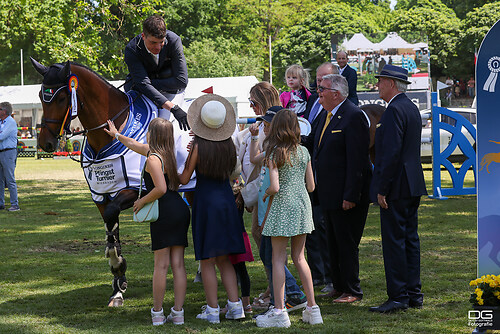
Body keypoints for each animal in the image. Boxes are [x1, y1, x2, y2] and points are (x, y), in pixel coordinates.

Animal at [29, 57, 189, 306]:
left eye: (62, 98)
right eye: (39, 95)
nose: (46, 143)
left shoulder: (136, 190)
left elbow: (113, 220)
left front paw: (116, 263)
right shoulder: (101, 196)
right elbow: (111, 227)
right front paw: (118, 284)